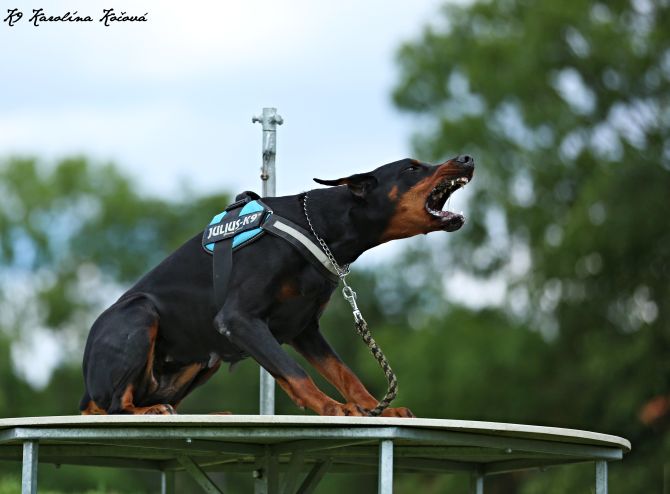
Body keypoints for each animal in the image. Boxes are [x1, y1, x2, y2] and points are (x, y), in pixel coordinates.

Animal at [80, 156, 474, 416]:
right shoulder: (238, 319)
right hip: (141, 314)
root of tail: (87, 390)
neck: (318, 225)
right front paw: (334, 408)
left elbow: (343, 372)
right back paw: (148, 412)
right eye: (412, 168)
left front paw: (376, 409)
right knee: (117, 405)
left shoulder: (304, 328)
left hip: (203, 360)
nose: (466, 158)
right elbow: (295, 373)